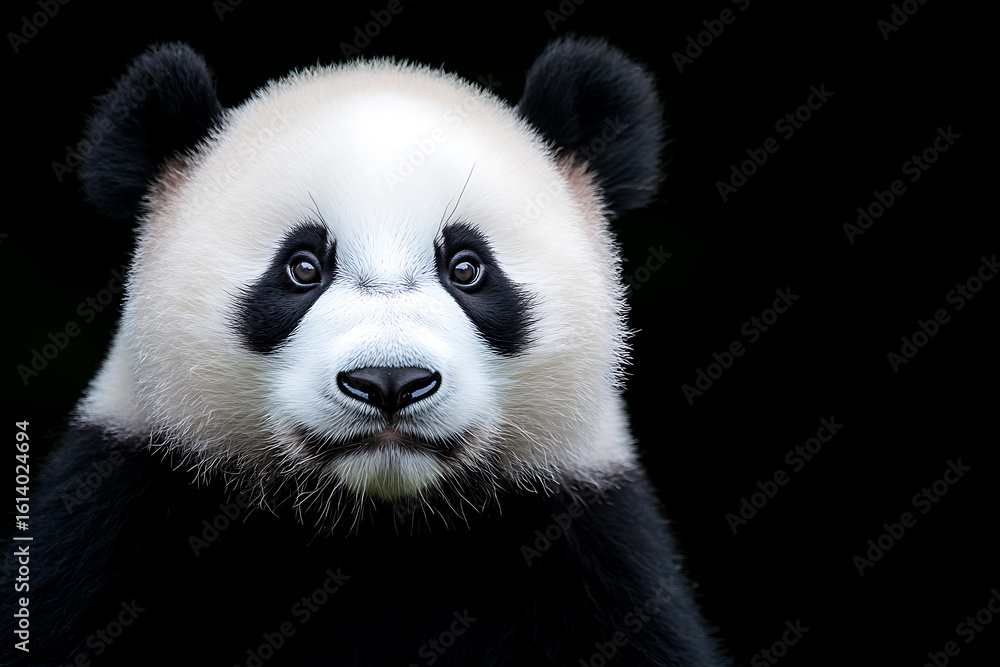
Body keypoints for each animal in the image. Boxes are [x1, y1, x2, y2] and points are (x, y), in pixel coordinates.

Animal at [4, 38, 727, 666]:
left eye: (467, 267)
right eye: (301, 268)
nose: (389, 380)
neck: (377, 526)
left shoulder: (586, 548)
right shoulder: (120, 517)